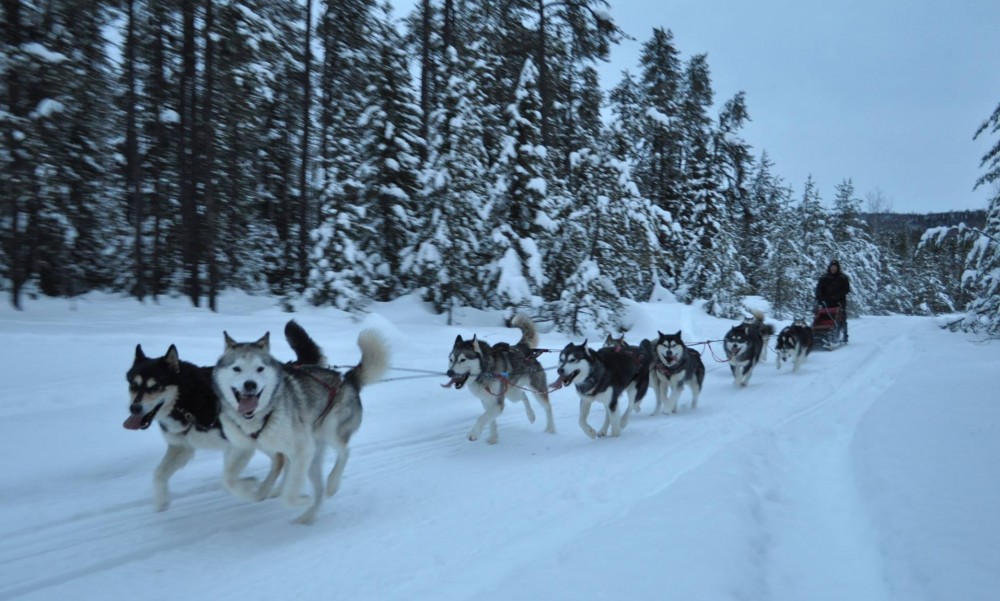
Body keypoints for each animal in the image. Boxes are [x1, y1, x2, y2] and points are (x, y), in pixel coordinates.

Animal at [123, 322, 322, 508]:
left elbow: (230, 478)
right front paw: (161, 501)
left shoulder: (239, 445)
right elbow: (158, 473)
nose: (134, 408)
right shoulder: (182, 447)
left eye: (155, 386)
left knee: (282, 460)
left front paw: (251, 486)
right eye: (133, 384)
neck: (186, 400)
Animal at [213, 326, 388, 524]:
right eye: (237, 368)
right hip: (309, 456)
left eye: (260, 369)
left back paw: (332, 484)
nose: (250, 384)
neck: (258, 417)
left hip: (329, 432)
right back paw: (306, 516)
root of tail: (347, 379)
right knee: (314, 486)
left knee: (344, 453)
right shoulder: (242, 448)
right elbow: (228, 480)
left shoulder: (302, 450)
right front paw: (253, 489)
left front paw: (302, 499)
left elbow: (289, 495)